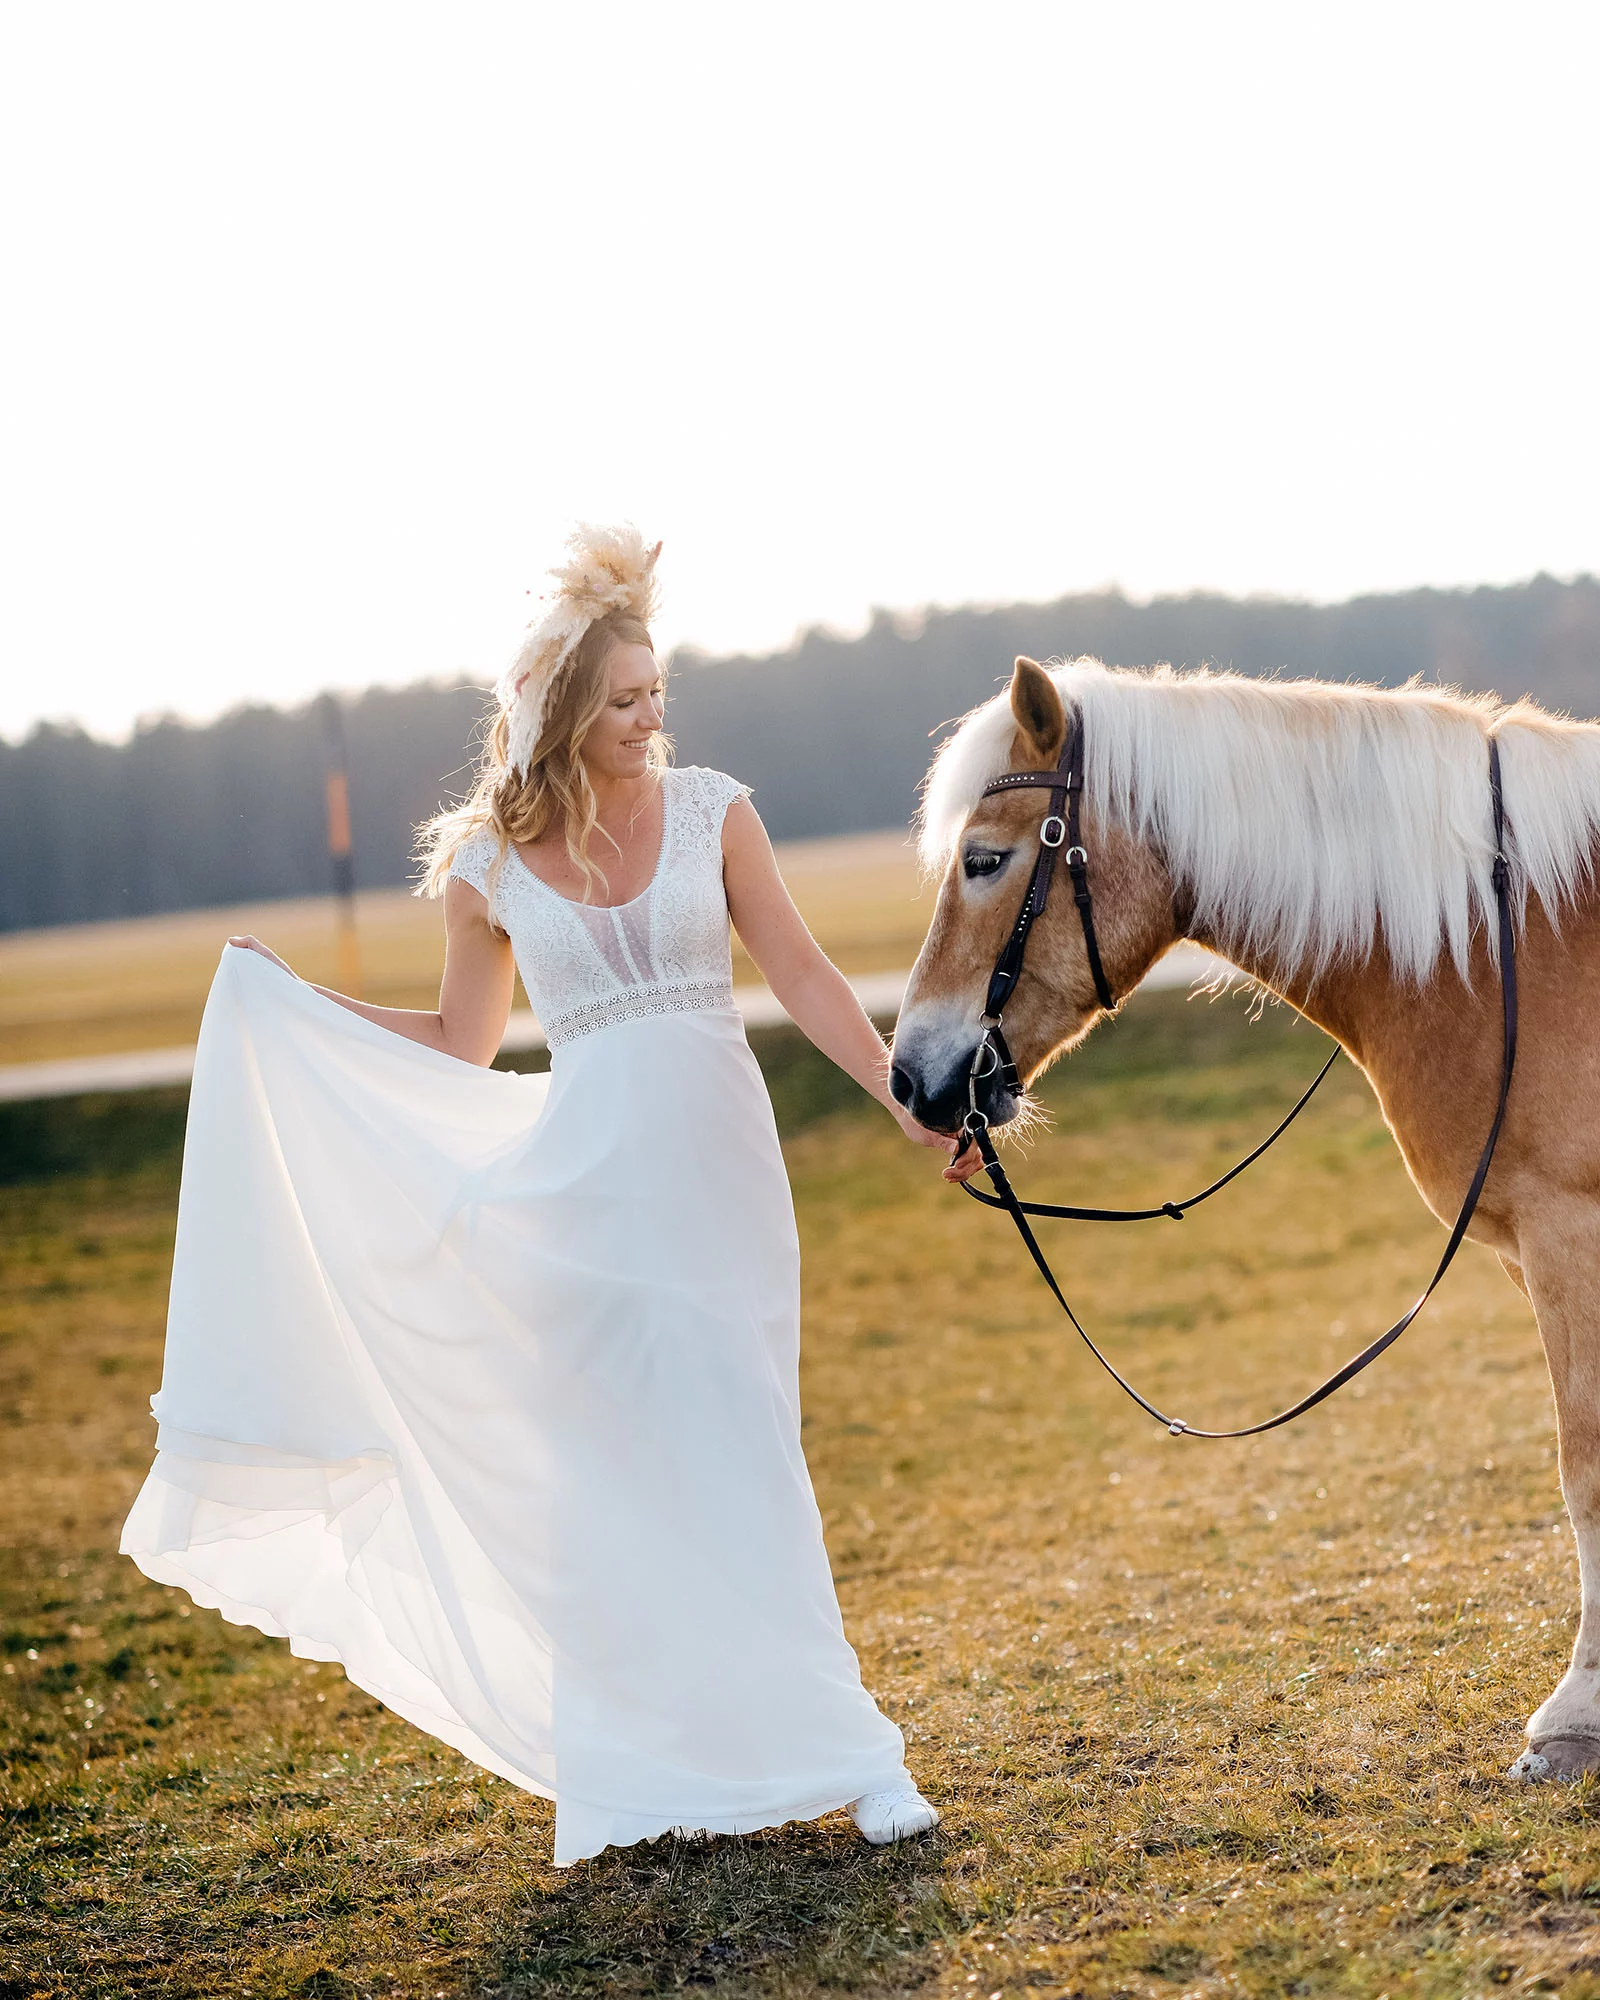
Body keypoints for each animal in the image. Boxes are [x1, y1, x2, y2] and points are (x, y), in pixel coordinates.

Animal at [889, 653, 1600, 1783]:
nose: (913, 1079)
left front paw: (1575, 1714)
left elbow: (1585, 1467)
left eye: (985, 860)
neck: (1506, 941)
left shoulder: (1566, 1235)